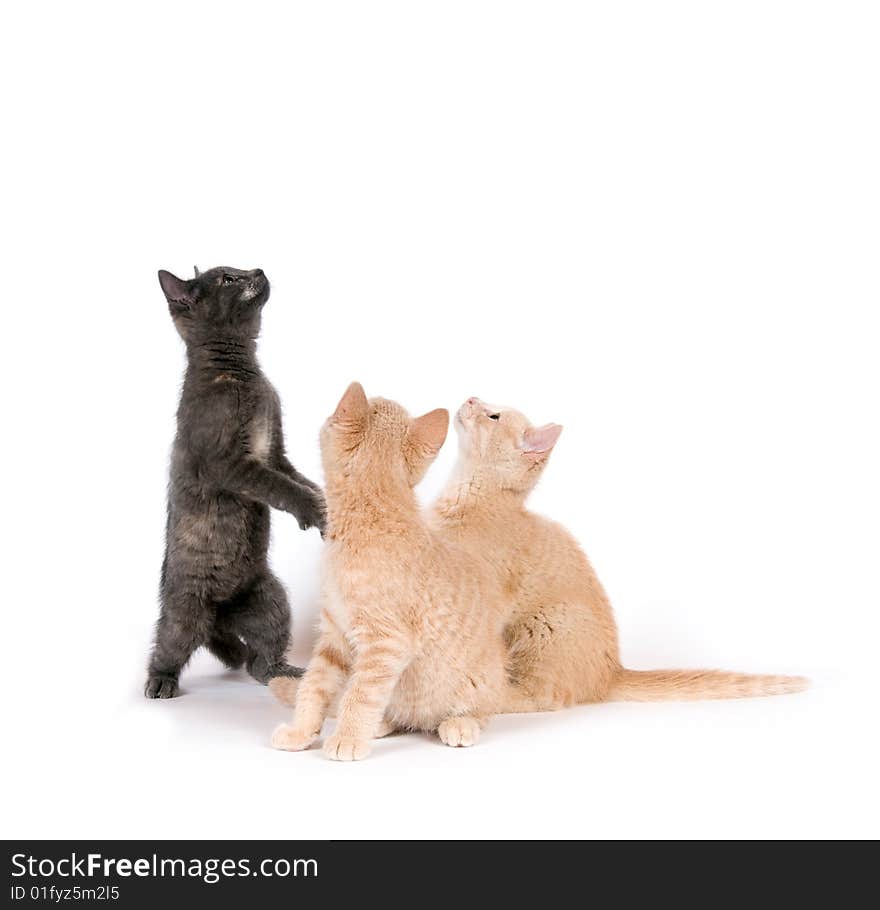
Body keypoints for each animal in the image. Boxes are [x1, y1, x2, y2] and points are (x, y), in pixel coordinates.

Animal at [144, 264, 326, 700]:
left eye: (239, 270)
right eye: (227, 279)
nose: (256, 270)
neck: (242, 375)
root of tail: (219, 618)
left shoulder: (276, 453)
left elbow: (296, 479)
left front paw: (323, 500)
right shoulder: (231, 465)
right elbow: (281, 488)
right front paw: (314, 510)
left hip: (271, 601)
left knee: (259, 661)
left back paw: (286, 673)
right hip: (186, 614)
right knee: (168, 644)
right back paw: (160, 681)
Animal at [272, 384, 512, 764]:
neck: (373, 515)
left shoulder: (386, 644)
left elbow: (360, 694)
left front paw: (347, 738)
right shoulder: (334, 635)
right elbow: (314, 685)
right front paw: (301, 731)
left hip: (481, 684)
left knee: (481, 711)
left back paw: (460, 723)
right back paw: (383, 723)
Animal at [430, 400, 808, 712]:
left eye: (493, 415)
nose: (471, 398)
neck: (471, 498)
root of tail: (612, 672)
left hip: (549, 627)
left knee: (545, 697)